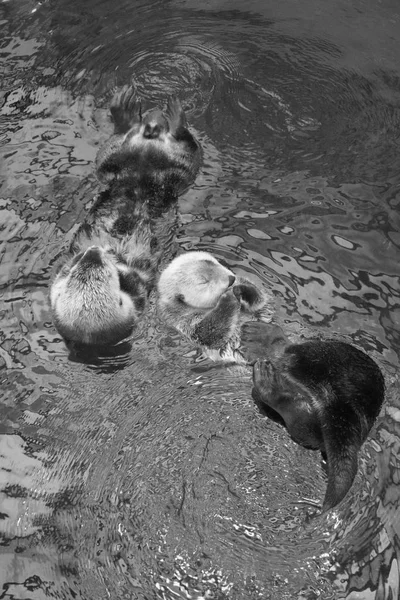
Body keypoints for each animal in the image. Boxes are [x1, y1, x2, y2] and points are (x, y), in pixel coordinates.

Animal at [50, 86, 202, 344]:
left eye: (77, 273)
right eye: (107, 275)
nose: (94, 251)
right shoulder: (138, 291)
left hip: (110, 156)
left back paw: (127, 106)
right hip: (180, 168)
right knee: (184, 140)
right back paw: (169, 114)